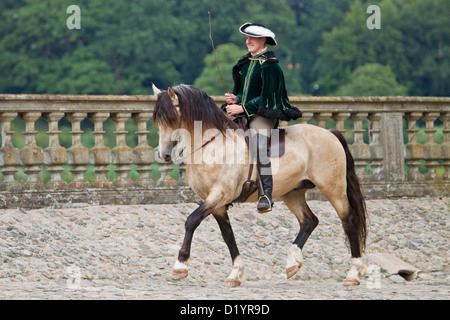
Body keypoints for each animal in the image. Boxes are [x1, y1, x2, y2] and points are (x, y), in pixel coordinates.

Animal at [151, 83, 370, 288]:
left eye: (171, 119)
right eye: (156, 121)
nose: (164, 155)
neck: (212, 145)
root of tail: (330, 133)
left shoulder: (219, 195)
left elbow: (192, 220)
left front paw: (180, 266)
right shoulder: (216, 203)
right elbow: (227, 235)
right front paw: (235, 273)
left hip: (333, 188)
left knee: (348, 220)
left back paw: (352, 274)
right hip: (292, 192)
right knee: (309, 221)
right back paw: (292, 263)